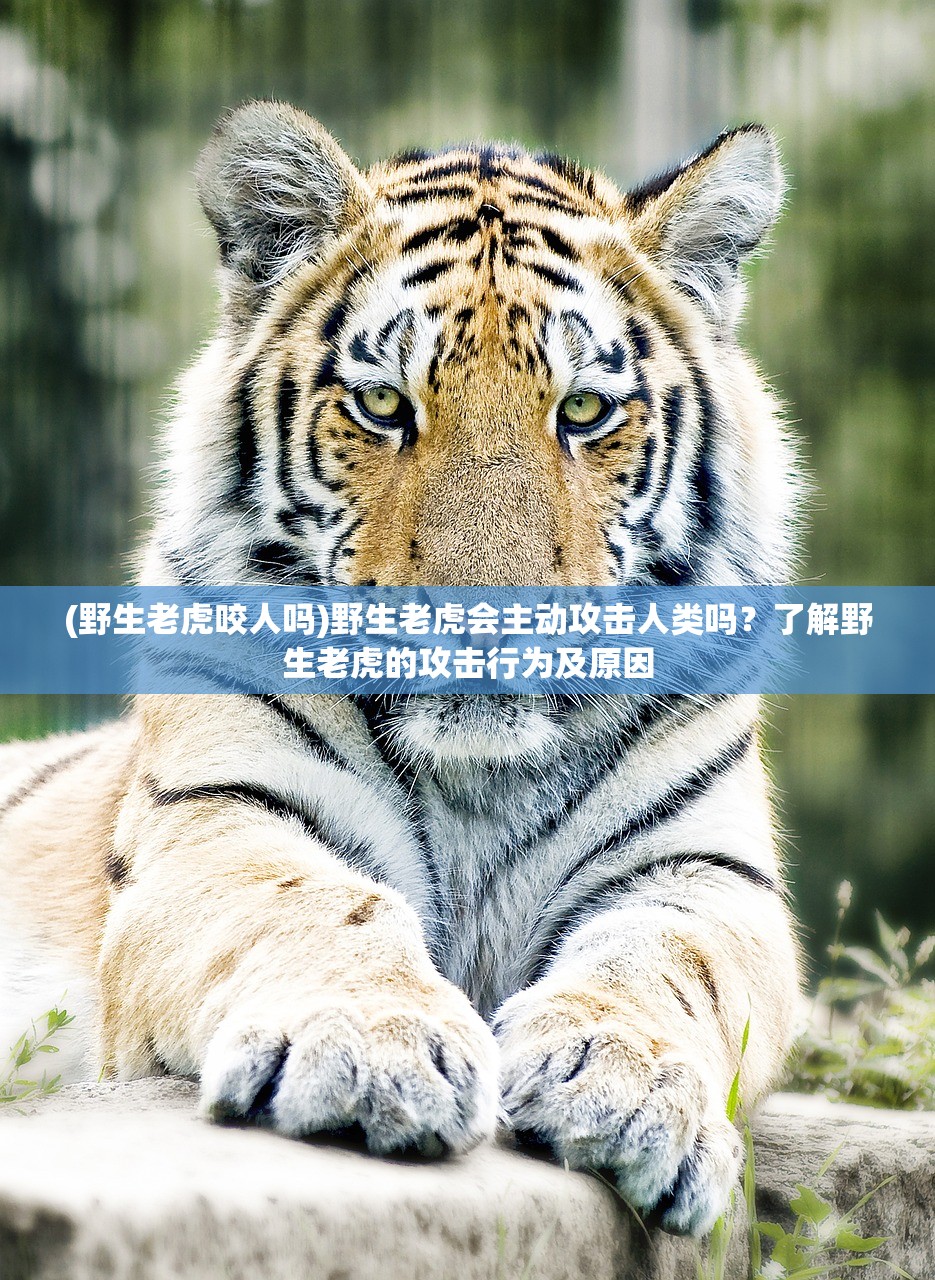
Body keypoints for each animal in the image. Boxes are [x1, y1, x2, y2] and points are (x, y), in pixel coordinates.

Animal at [0, 101, 802, 1238]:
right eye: (383, 405)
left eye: (584, 412)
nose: (486, 619)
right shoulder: (218, 821)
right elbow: (314, 904)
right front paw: (366, 1049)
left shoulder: (705, 873)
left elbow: (664, 961)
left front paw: (623, 1083)